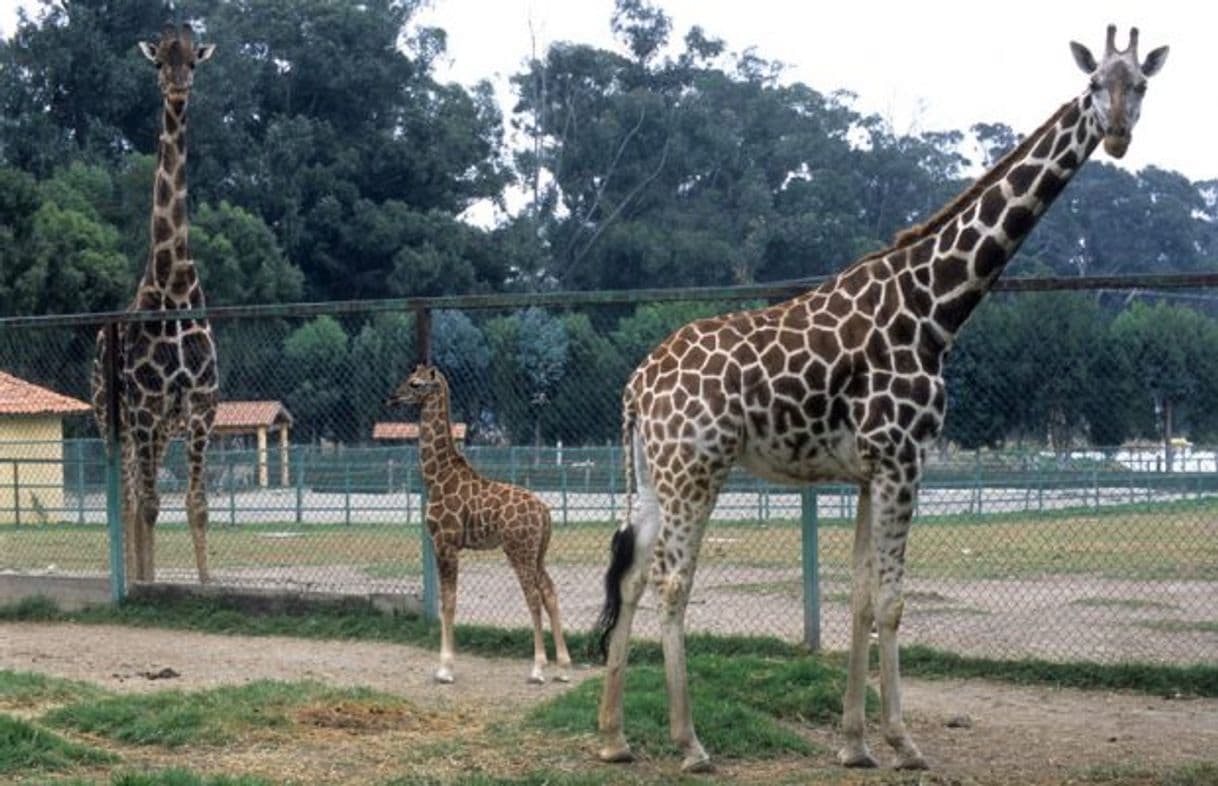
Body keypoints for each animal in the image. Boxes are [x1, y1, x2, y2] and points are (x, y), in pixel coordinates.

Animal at [392, 365, 577, 682]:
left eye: (415, 383)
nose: (393, 397)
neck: (436, 476)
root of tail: (545, 512)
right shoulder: (445, 545)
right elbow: (448, 600)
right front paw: (445, 665)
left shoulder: (445, 543)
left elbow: (449, 601)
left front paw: (445, 668)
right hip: (537, 553)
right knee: (549, 592)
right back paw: (564, 668)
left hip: (518, 550)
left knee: (533, 597)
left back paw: (538, 668)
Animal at [594, 24, 1164, 770]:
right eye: (1095, 83)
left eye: (1142, 85)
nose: (1120, 133)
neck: (936, 306)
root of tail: (637, 384)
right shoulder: (903, 460)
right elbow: (892, 601)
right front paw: (904, 741)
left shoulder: (870, 472)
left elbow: (863, 598)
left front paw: (855, 742)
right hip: (696, 470)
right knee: (672, 581)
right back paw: (690, 743)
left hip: (655, 474)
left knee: (631, 577)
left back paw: (614, 737)